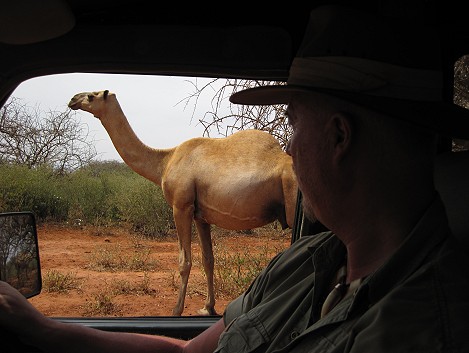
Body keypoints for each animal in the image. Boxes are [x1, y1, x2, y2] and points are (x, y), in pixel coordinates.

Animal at [67, 89, 298, 314]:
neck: (164, 162)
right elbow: (208, 259)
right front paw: (208, 307)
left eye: (92, 96)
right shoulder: (201, 216)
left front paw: (176, 310)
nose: (72, 99)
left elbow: (184, 262)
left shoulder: (181, 206)